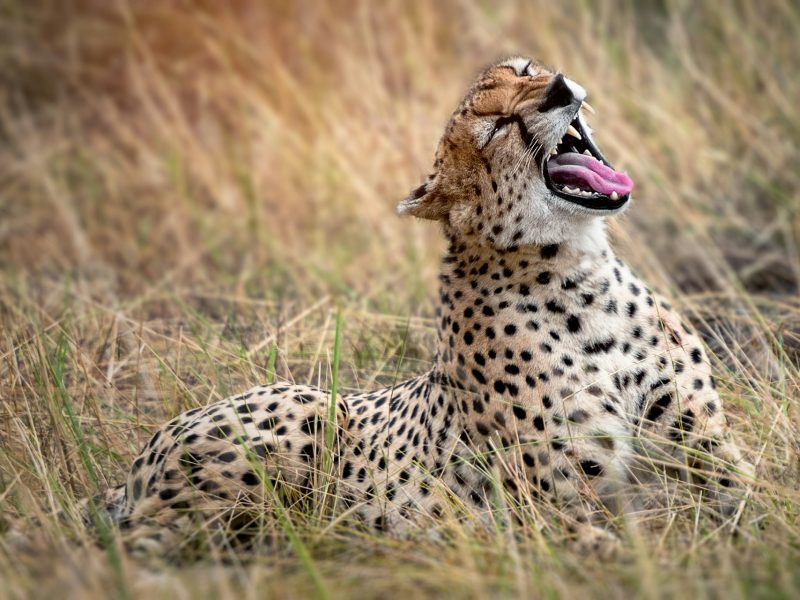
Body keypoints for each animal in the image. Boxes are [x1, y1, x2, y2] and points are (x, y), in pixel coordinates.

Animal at [76, 57, 753, 558]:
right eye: (498, 128)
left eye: (527, 69)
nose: (560, 88)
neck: (579, 273)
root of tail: (136, 465)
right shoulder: (553, 506)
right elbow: (611, 538)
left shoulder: (700, 440)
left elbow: (747, 488)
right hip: (302, 414)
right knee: (151, 542)